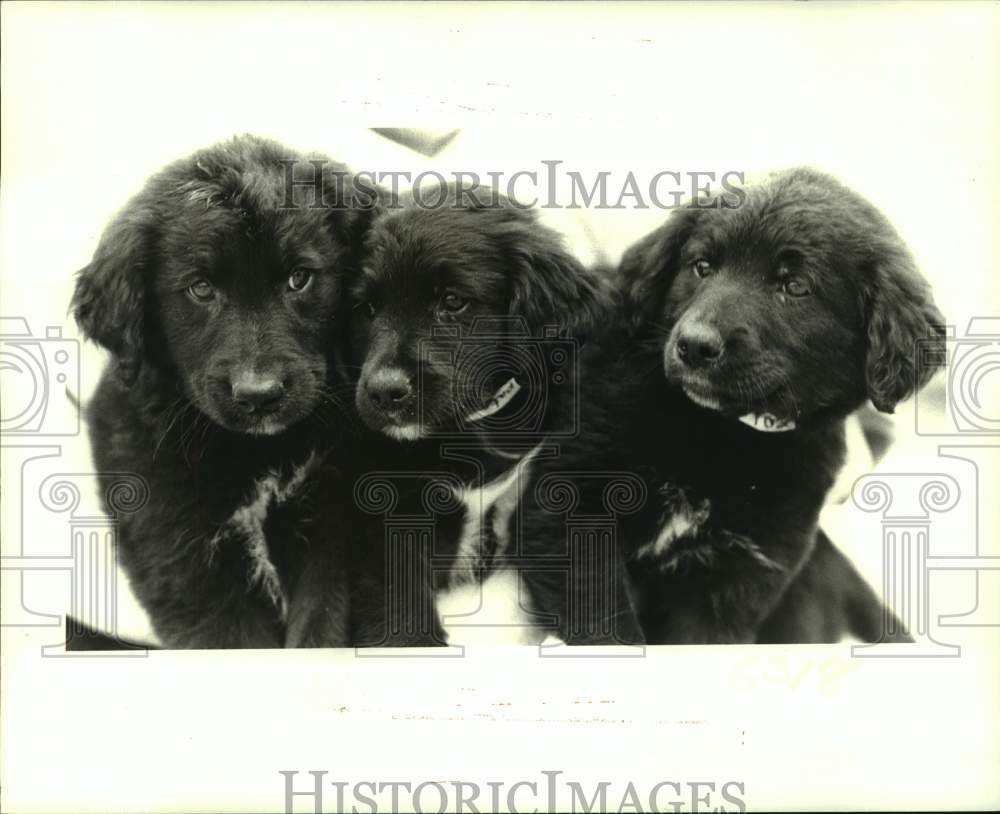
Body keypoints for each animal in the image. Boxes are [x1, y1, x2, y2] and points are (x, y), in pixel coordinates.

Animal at [72, 135, 374, 652]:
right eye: (200, 288)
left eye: (299, 278)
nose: (260, 396)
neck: (257, 453)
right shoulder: (179, 553)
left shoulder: (327, 524)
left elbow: (320, 625)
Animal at [338, 188, 624, 648]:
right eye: (367, 308)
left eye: (452, 302)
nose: (384, 391)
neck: (467, 433)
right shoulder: (386, 509)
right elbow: (398, 603)